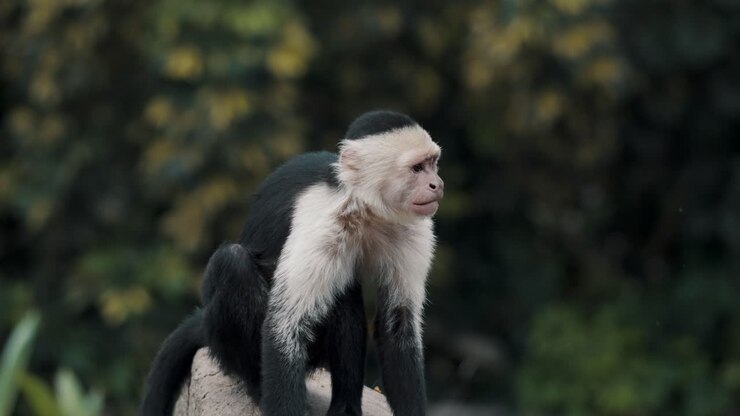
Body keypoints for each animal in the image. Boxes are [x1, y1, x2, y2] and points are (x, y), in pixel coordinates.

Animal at [141, 110, 443, 416]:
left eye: (433, 164)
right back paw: (256, 386)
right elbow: (285, 325)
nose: (437, 184)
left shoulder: (413, 228)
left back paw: (345, 405)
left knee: (344, 293)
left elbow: (398, 322)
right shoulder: (323, 222)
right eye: (417, 168)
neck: (365, 207)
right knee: (232, 262)